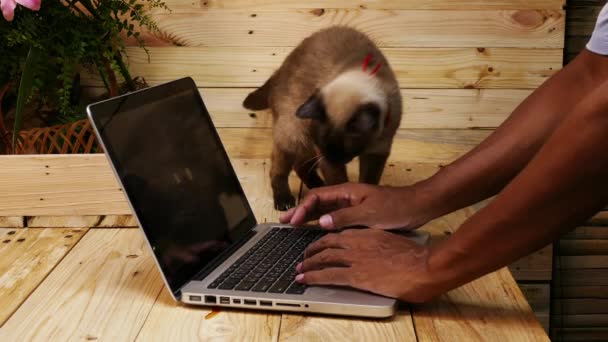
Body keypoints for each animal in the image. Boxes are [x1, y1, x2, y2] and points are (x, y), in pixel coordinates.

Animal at [242, 26, 404, 211]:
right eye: (328, 149)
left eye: (347, 150)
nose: (335, 160)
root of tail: (278, 72)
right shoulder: (325, 158)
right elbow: (339, 183)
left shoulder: (378, 150)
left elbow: (368, 182)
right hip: (293, 133)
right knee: (279, 169)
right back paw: (286, 201)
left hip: (304, 139)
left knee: (300, 165)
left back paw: (318, 187)